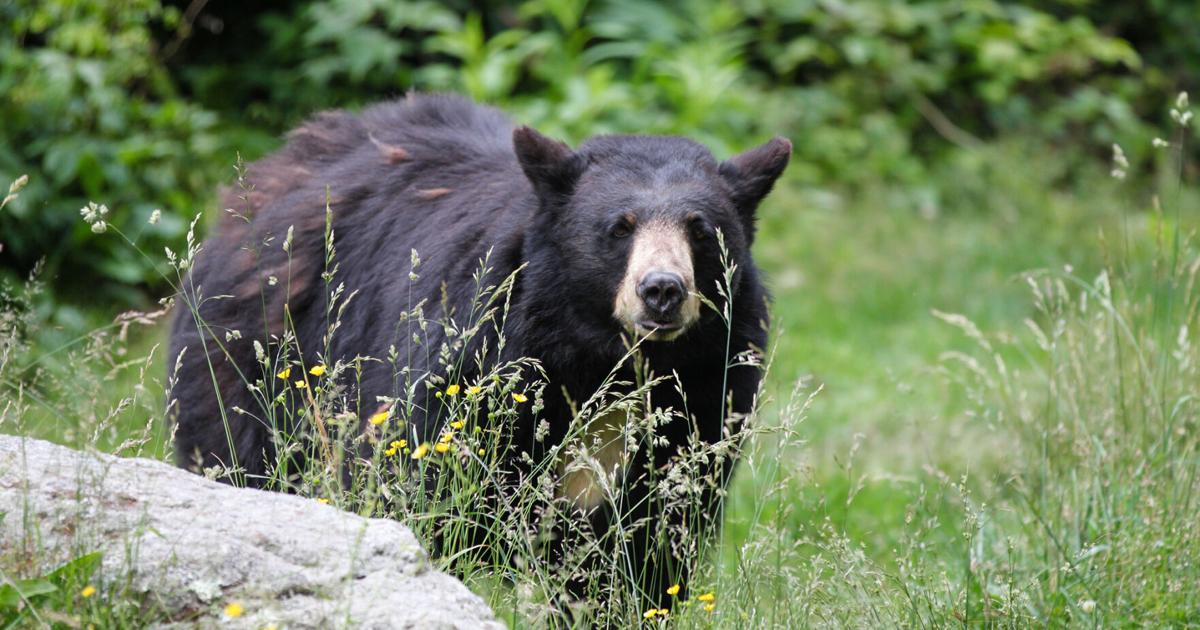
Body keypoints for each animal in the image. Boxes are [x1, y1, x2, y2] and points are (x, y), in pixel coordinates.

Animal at [167, 93, 789, 612]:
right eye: (619, 227)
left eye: (701, 231)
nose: (662, 290)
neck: (602, 363)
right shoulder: (473, 369)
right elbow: (429, 495)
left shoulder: (705, 397)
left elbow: (653, 541)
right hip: (258, 362)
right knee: (239, 452)